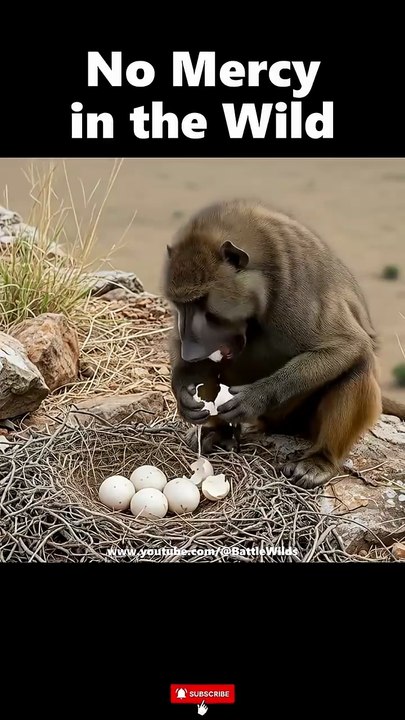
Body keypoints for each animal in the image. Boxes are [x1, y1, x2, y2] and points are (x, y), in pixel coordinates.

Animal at [163, 199, 405, 489]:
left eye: (202, 302)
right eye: (182, 305)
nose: (191, 351)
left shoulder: (296, 289)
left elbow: (348, 344)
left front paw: (255, 398)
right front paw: (183, 390)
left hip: (296, 419)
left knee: (359, 364)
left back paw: (320, 460)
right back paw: (218, 433)